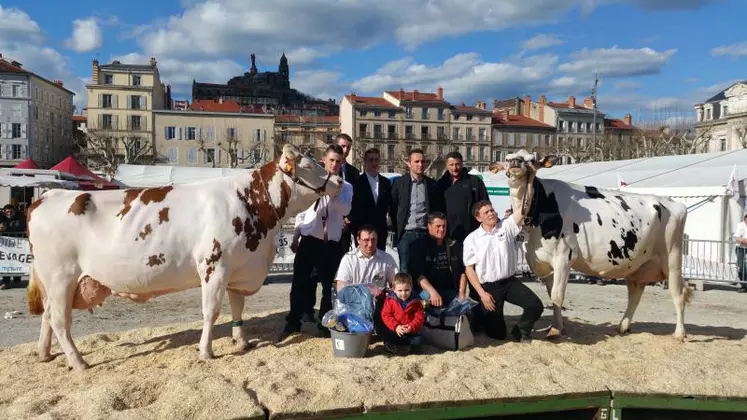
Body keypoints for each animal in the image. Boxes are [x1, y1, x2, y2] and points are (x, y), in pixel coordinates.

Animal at [26, 145, 342, 370]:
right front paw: (206, 352)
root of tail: (48, 196)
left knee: (47, 316)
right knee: (59, 320)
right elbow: (211, 311)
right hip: (61, 276)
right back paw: (79, 362)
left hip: (53, 281)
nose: (339, 179)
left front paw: (241, 341)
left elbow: (237, 307)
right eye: (307, 165)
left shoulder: (239, 268)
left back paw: (44, 354)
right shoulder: (214, 265)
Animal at [494, 151, 692, 342]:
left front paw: (556, 330)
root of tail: (675, 203)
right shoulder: (542, 261)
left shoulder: (564, 257)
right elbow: (552, 295)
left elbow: (557, 295)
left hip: (672, 258)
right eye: (508, 158)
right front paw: (557, 326)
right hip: (638, 264)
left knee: (678, 293)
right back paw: (623, 326)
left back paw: (679, 333)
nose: (516, 163)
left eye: (532, 160)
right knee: (635, 293)